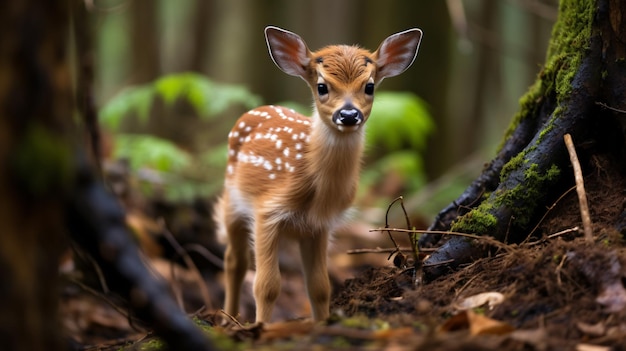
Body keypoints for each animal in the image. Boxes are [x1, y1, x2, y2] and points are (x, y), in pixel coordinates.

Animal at [212, 25, 422, 324]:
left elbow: (320, 286)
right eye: (322, 87)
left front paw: (322, 323)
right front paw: (260, 327)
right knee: (234, 261)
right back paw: (228, 319)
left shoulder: (320, 225)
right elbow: (266, 285)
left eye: (369, 86)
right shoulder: (266, 211)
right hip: (232, 198)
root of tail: (257, 109)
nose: (349, 114)